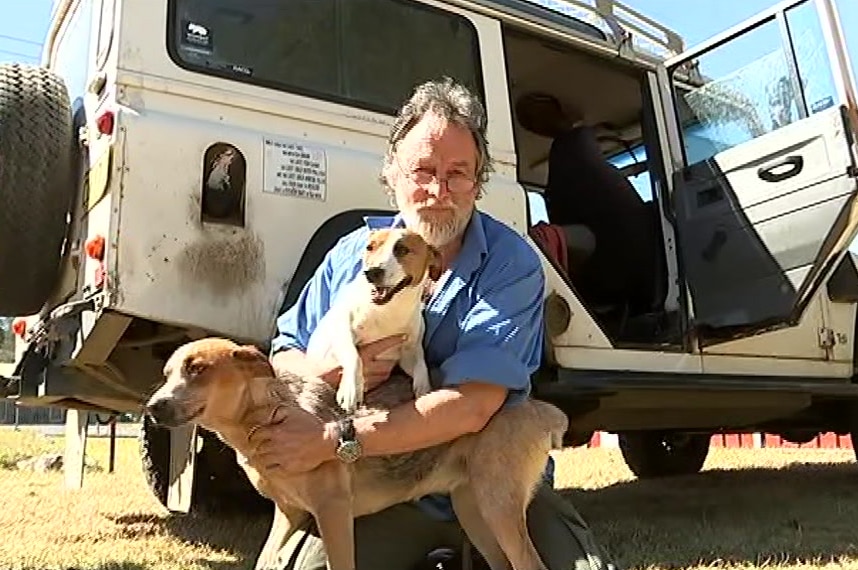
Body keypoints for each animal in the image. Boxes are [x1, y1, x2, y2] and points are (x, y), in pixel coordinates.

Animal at [144, 338, 568, 568]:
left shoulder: (333, 512)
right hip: (475, 513)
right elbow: (266, 562)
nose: (152, 407)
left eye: (198, 369)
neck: (264, 413)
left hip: (497, 507)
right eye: (166, 375)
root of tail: (541, 408)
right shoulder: (288, 514)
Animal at [306, 227, 442, 412]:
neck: (387, 311)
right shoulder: (342, 332)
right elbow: (354, 356)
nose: (371, 272)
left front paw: (424, 389)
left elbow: (422, 366)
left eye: (403, 250)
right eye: (369, 247)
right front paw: (350, 391)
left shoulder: (409, 352)